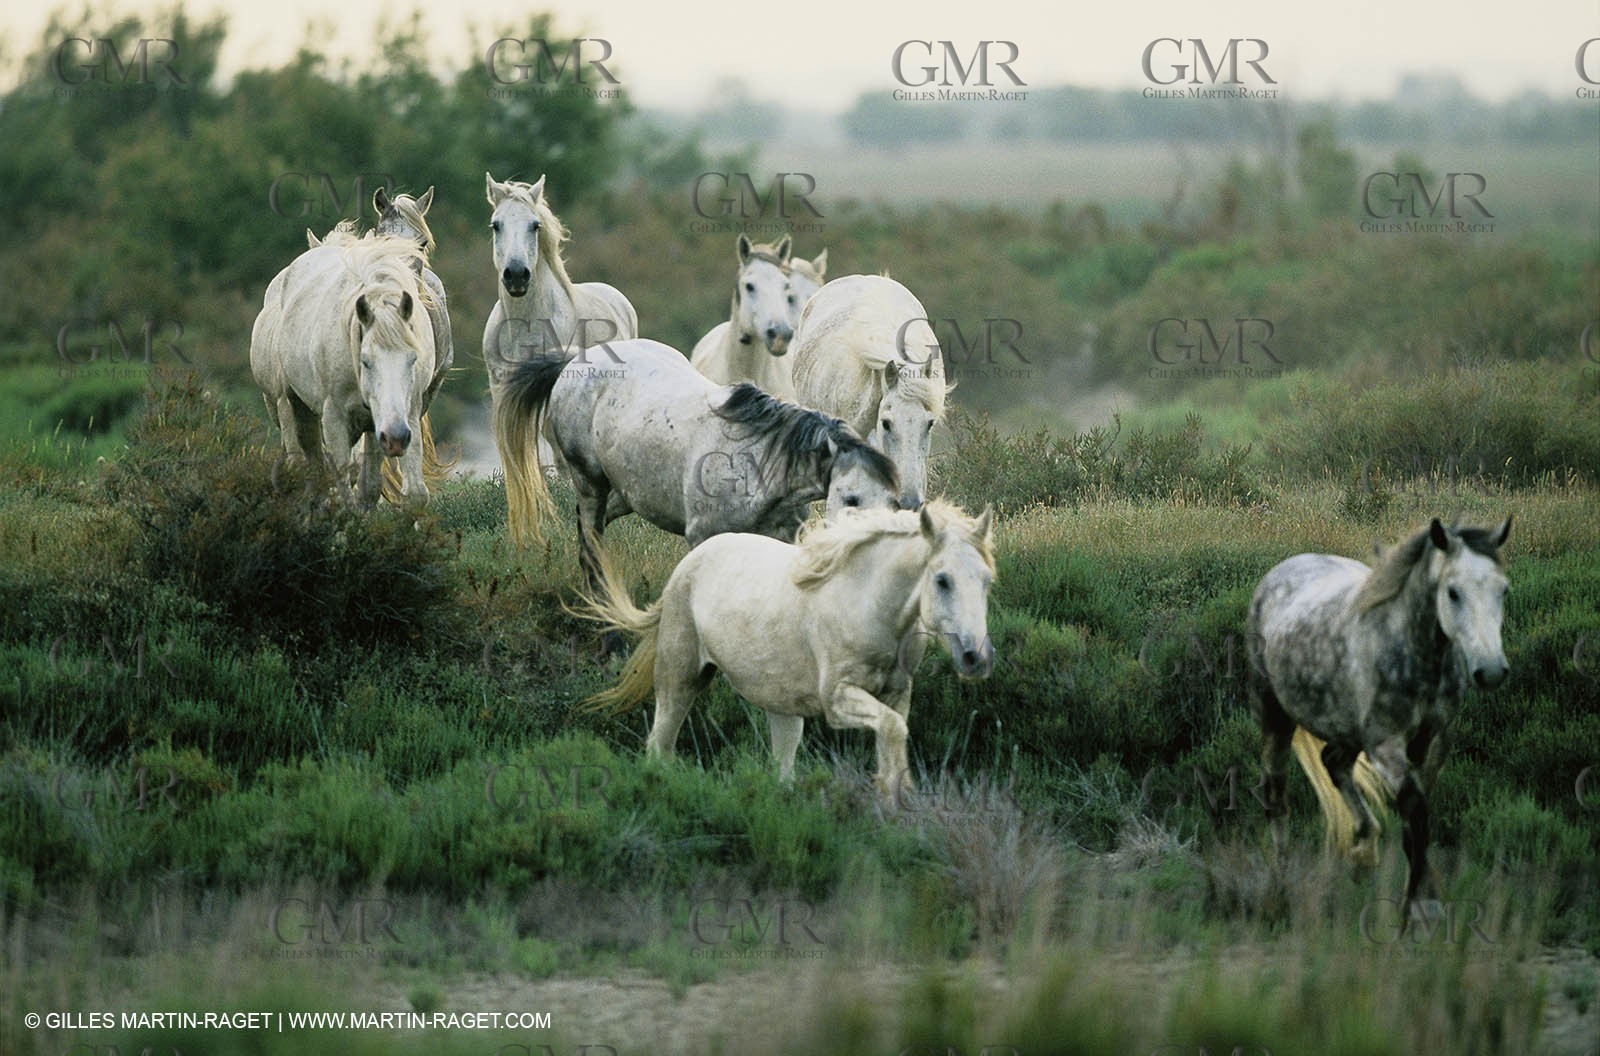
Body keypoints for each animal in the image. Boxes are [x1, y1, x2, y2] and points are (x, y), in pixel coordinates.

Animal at [250, 230, 442, 508]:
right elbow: (343, 487)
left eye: (413, 359)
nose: (395, 438)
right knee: (304, 465)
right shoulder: (334, 416)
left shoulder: (407, 412)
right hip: (289, 405)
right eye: (366, 361)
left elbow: (407, 492)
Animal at [482, 173, 639, 541]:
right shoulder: (503, 391)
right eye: (496, 225)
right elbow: (514, 452)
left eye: (535, 225)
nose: (516, 275)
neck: (524, 327)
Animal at [491, 337, 902, 589]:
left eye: (895, 503)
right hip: (590, 481)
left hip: (627, 492)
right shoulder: (704, 540)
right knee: (590, 543)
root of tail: (574, 361)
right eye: (850, 499)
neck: (757, 466)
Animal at [579, 499, 996, 802]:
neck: (867, 602)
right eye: (942, 580)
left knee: (782, 766)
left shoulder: (897, 693)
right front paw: (898, 799)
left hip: (780, 706)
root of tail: (686, 566)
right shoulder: (838, 700)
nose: (975, 658)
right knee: (659, 746)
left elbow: (894, 734)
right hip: (679, 680)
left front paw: (896, 796)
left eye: (987, 580)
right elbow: (894, 730)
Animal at [1245, 517, 1512, 921]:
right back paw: (1281, 890)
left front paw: (1423, 899)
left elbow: (1417, 823)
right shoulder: (1386, 746)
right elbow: (1416, 816)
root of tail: (1279, 573)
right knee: (1276, 797)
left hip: (1348, 730)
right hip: (1276, 718)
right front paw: (1414, 911)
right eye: (1453, 593)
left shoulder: (1432, 742)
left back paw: (1363, 851)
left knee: (1333, 763)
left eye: (1503, 590)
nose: (1492, 671)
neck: (1415, 655)